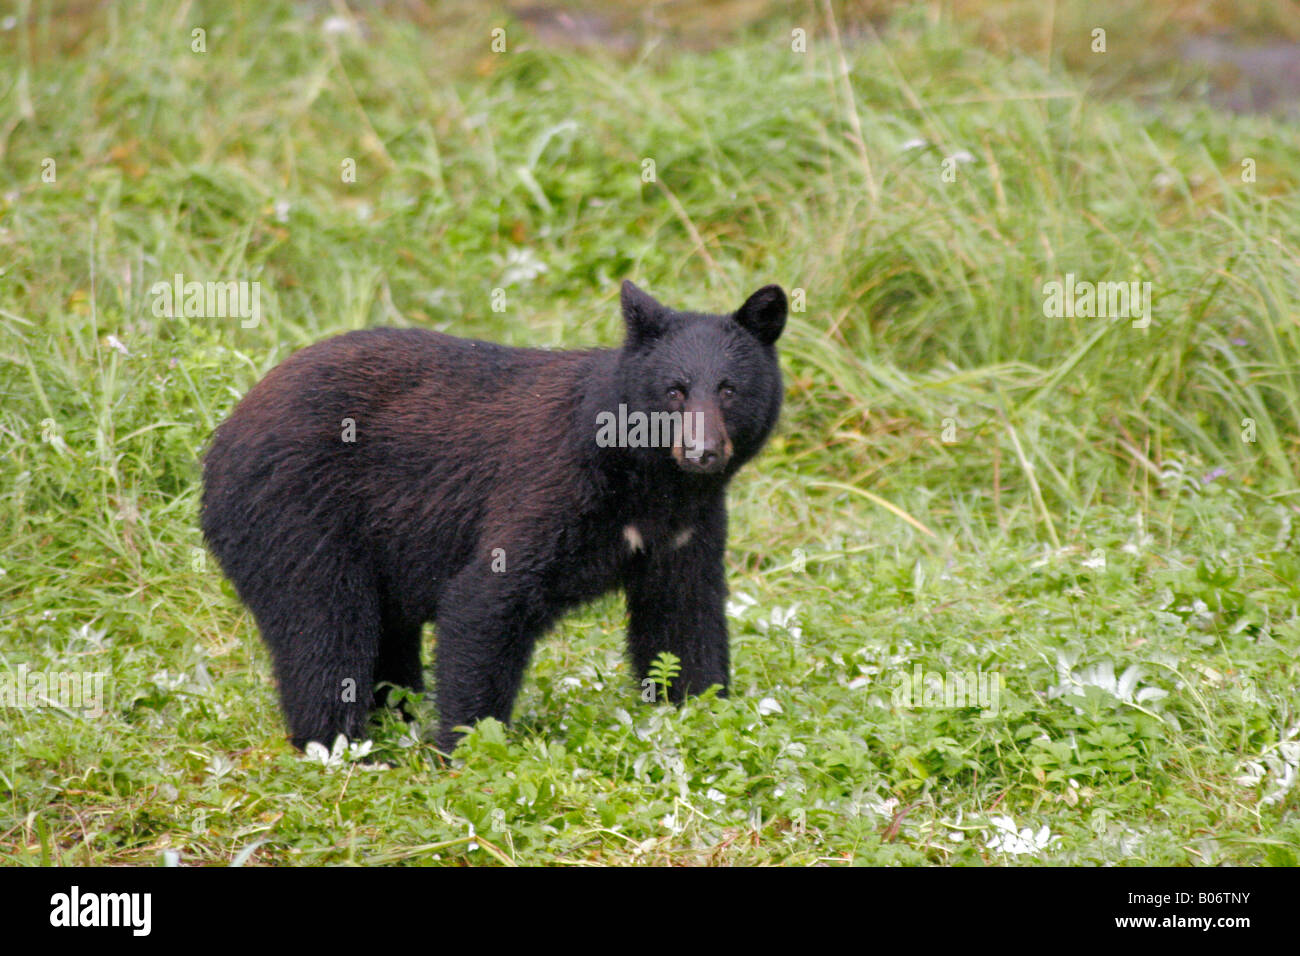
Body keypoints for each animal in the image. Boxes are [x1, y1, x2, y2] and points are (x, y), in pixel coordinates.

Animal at [198, 280, 785, 749]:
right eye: (674, 390)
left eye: (729, 389)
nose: (702, 452)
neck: (650, 480)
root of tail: (220, 438)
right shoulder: (552, 486)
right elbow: (485, 601)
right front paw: (469, 748)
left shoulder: (688, 527)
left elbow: (682, 620)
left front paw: (701, 715)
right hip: (295, 512)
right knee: (323, 628)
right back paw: (340, 746)